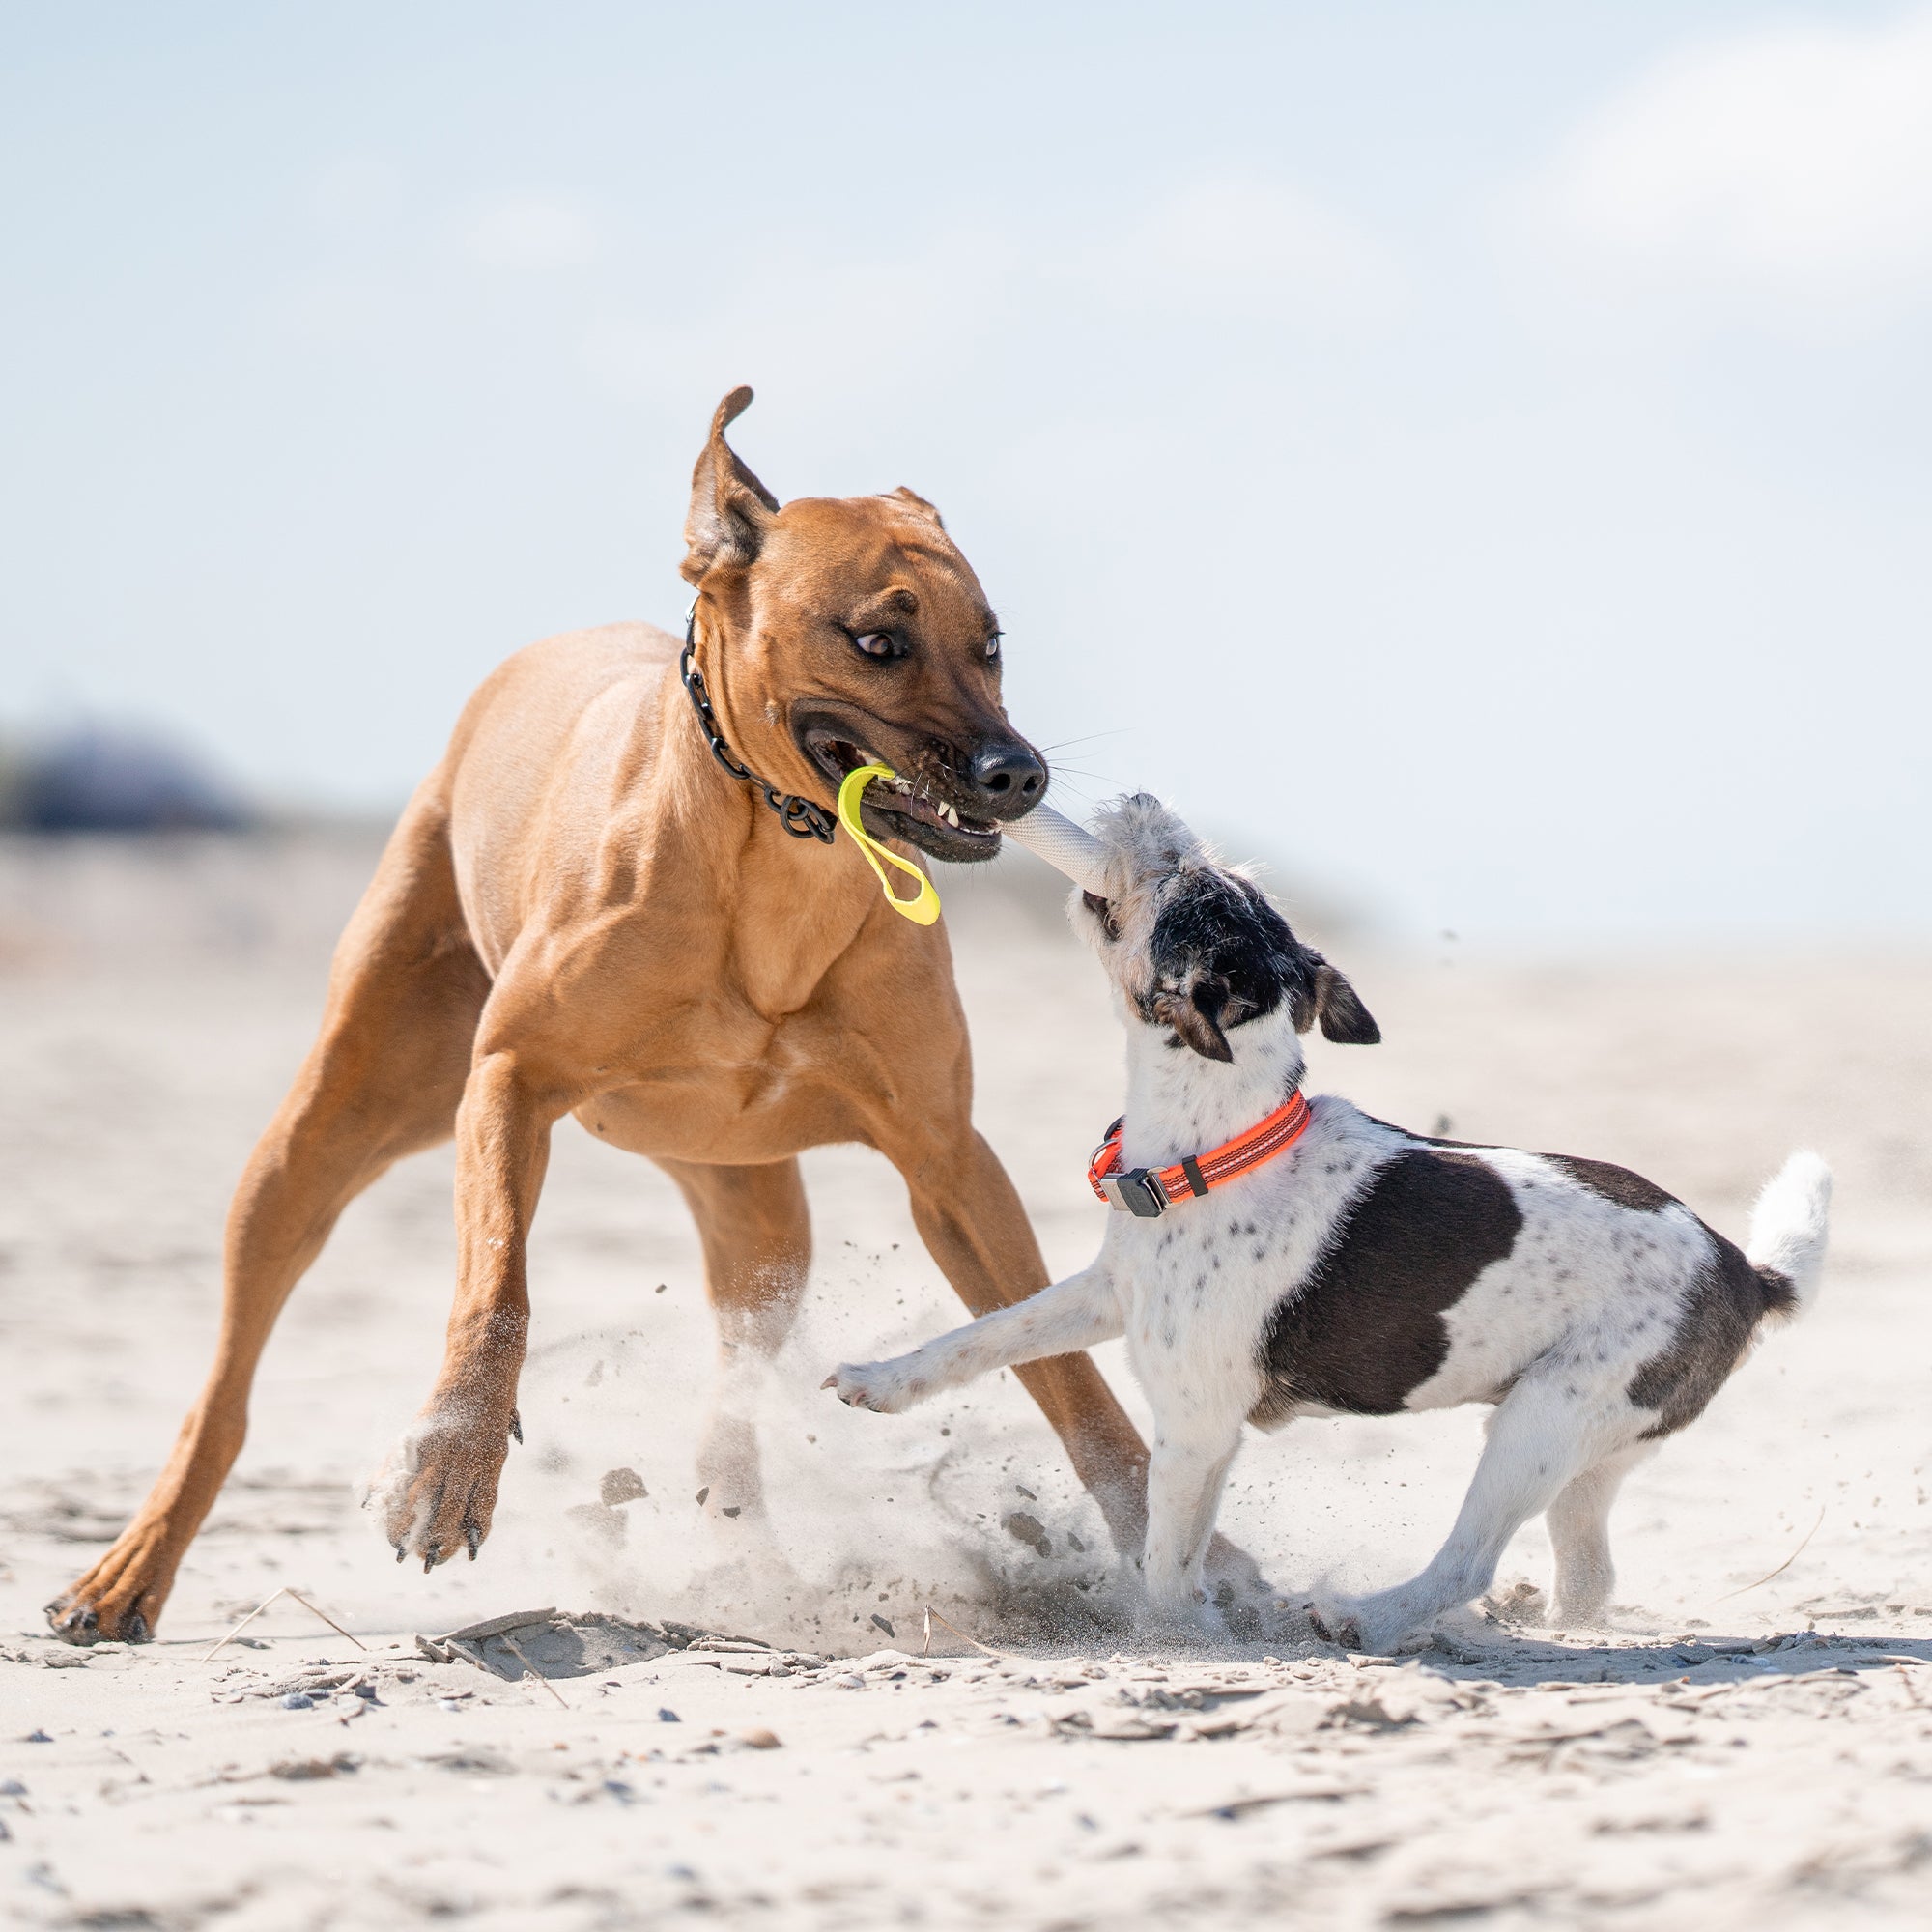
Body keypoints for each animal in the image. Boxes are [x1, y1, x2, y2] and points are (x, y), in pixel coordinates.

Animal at [48, 384, 1159, 1638]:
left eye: (990, 645)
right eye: (879, 640)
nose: (1018, 774)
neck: (776, 864)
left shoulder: (946, 1159)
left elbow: (1063, 1372)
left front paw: (1184, 1556)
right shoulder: (508, 1082)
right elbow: (496, 1289)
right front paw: (452, 1464)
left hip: (750, 1208)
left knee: (742, 1360)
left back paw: (745, 1549)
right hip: (321, 1132)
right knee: (230, 1373)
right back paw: (130, 1568)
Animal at [823, 792, 1832, 1654]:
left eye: (1180, 876)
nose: (1146, 798)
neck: (1216, 1141)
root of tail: (1747, 1272)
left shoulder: (1196, 1425)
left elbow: (1165, 1554)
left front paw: (1171, 1638)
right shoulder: (1108, 1293)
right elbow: (989, 1334)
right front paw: (880, 1381)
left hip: (1545, 1418)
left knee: (1468, 1560)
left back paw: (1367, 1617)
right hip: (1593, 1450)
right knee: (1589, 1576)